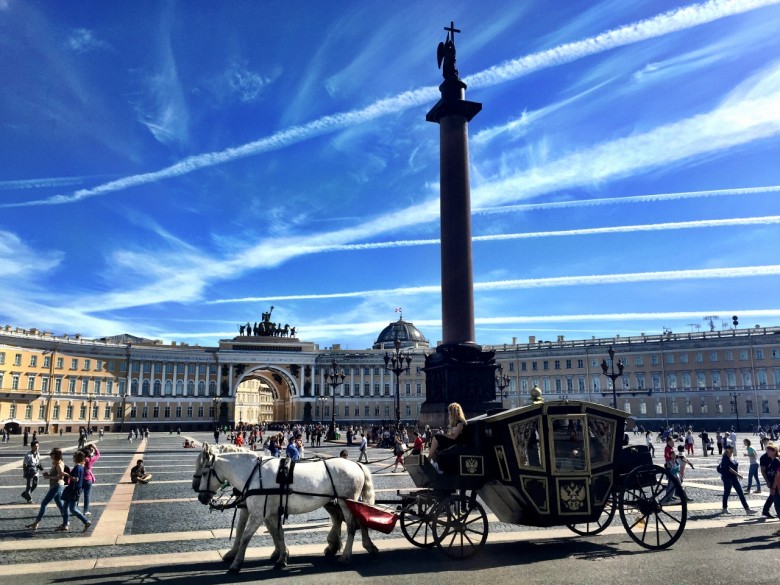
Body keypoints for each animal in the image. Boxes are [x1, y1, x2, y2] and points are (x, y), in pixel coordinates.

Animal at [193, 442, 380, 572]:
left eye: (204, 472)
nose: (200, 495)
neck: (252, 474)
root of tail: (356, 464)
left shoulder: (258, 513)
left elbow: (245, 535)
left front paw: (236, 564)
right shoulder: (270, 512)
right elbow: (278, 533)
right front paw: (282, 558)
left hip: (346, 500)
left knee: (351, 525)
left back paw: (346, 556)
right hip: (338, 501)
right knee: (350, 520)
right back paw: (360, 546)